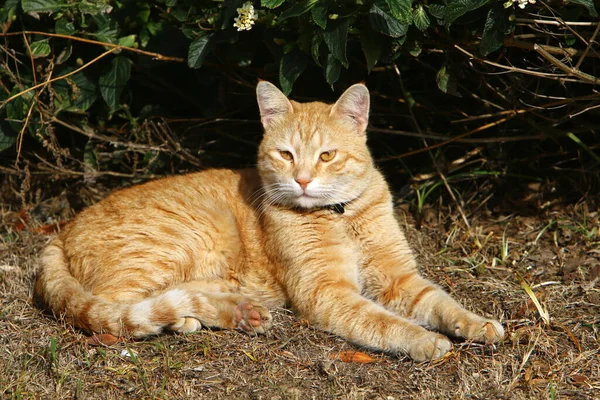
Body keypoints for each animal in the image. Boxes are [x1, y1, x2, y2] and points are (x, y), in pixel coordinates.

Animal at [35, 80, 504, 360]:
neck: (341, 215)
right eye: (286, 154)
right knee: (116, 310)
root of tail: (61, 232)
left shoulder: (399, 278)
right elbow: (383, 322)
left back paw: (235, 311)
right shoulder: (328, 293)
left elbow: (442, 302)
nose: (302, 180)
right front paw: (425, 341)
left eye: (327, 155)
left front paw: (475, 325)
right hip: (185, 235)